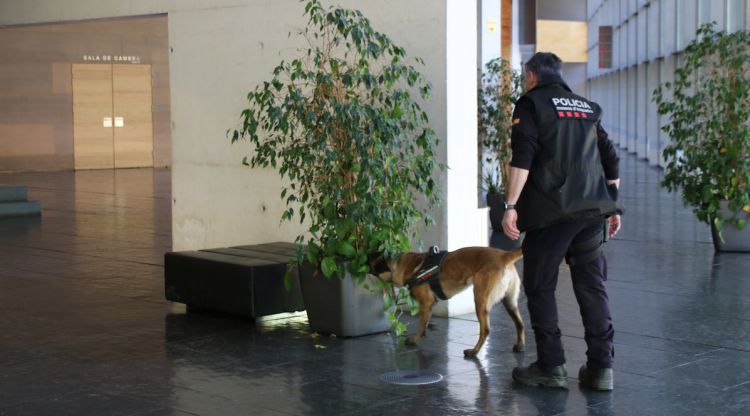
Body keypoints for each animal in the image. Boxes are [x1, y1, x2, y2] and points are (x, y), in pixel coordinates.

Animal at [376, 247, 528, 358]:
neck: (410, 265)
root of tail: (504, 255)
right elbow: (425, 324)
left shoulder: (426, 303)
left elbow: (421, 326)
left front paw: (415, 340)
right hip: (510, 302)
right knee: (520, 323)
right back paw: (520, 346)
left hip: (480, 301)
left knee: (485, 329)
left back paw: (474, 351)